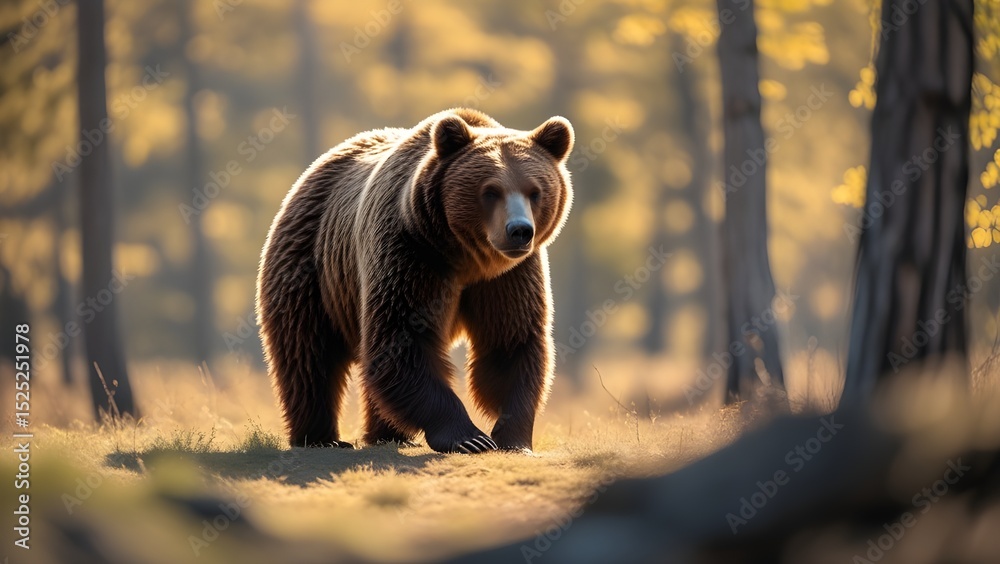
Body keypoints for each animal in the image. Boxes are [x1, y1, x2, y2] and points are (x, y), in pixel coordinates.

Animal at [256, 108, 574, 454]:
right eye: (490, 191)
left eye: (535, 191)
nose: (519, 231)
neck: (465, 257)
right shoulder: (411, 253)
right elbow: (401, 340)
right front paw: (469, 438)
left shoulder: (509, 276)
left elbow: (509, 342)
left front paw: (512, 436)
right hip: (312, 268)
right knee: (308, 356)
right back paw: (320, 438)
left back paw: (388, 434)